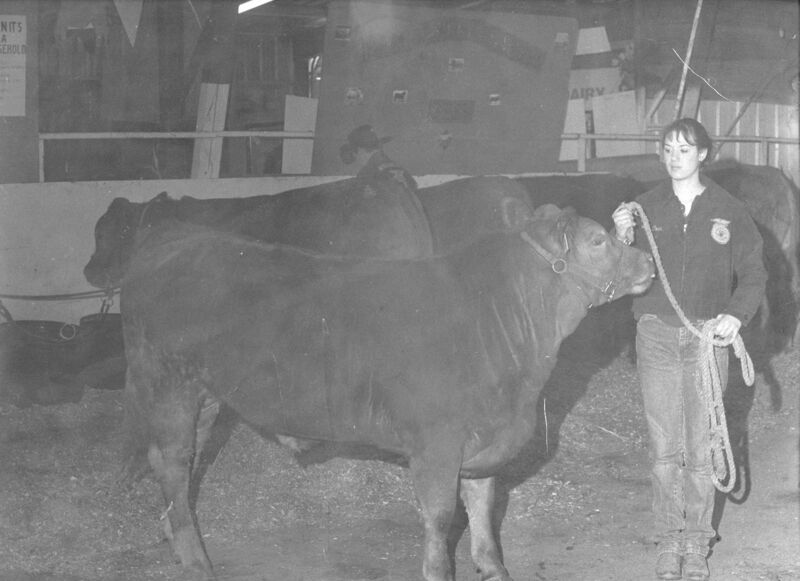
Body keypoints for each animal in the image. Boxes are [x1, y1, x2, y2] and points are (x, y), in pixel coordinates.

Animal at [120, 203, 655, 581]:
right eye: (597, 240)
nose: (649, 260)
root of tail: (174, 237)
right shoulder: (437, 445)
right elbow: (439, 518)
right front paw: (439, 572)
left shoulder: (485, 440)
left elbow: (482, 510)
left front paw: (494, 569)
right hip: (168, 385)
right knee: (172, 463)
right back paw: (195, 561)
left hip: (209, 396)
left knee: (179, 468)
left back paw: (173, 533)